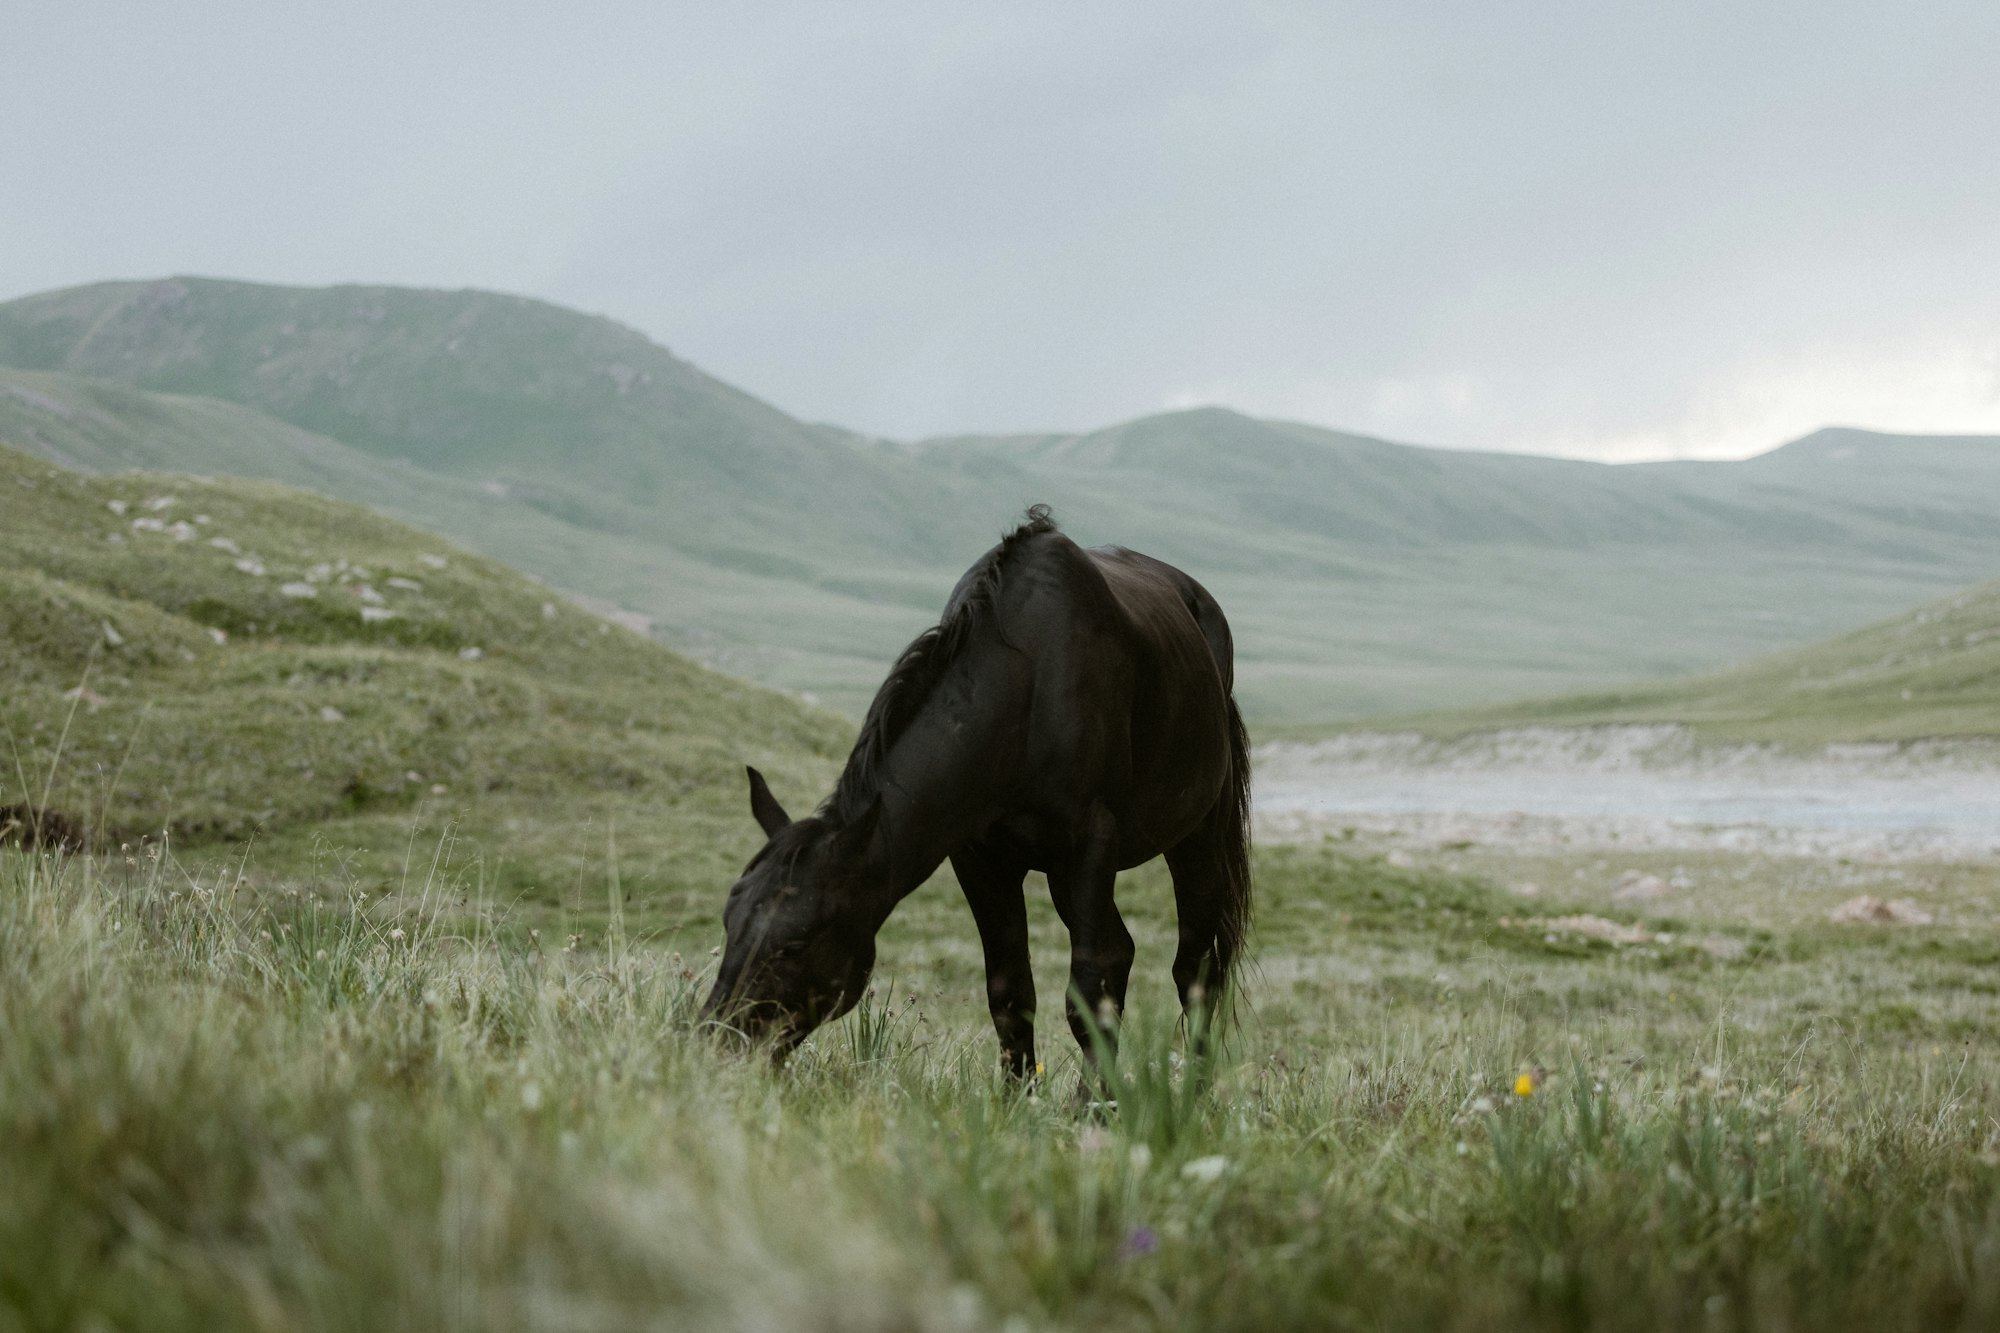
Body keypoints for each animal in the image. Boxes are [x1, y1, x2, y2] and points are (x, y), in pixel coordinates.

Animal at [700, 506, 1251, 1082]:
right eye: (730, 920)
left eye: (796, 943)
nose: (717, 1042)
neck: (1027, 688)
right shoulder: (982, 860)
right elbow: (1010, 993)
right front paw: (1018, 1098)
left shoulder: (1089, 847)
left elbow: (1087, 987)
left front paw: (1093, 1102)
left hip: (1194, 836)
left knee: (1193, 968)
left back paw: (1190, 1089)